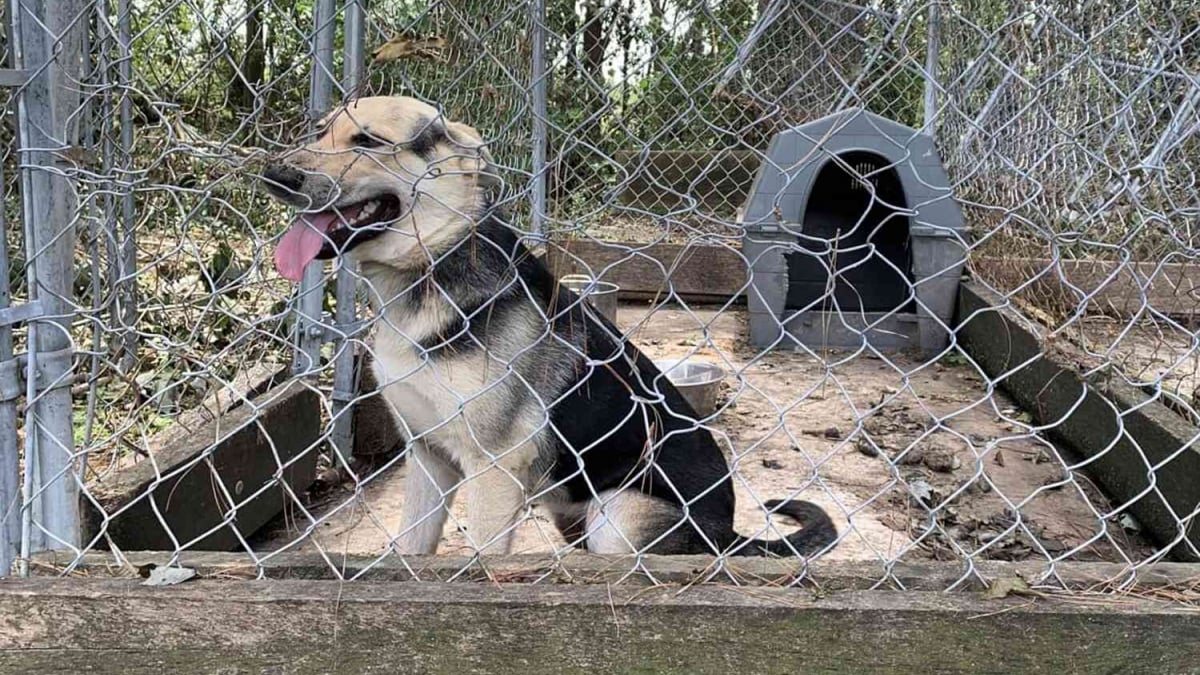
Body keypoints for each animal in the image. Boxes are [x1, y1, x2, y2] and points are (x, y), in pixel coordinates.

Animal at [261, 96, 835, 557]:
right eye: (320, 133)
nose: (273, 177)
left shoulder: (492, 469)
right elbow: (411, 550)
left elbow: (483, 560)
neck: (430, 267)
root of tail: (728, 536)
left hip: (615, 516)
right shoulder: (427, 458)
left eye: (367, 141)